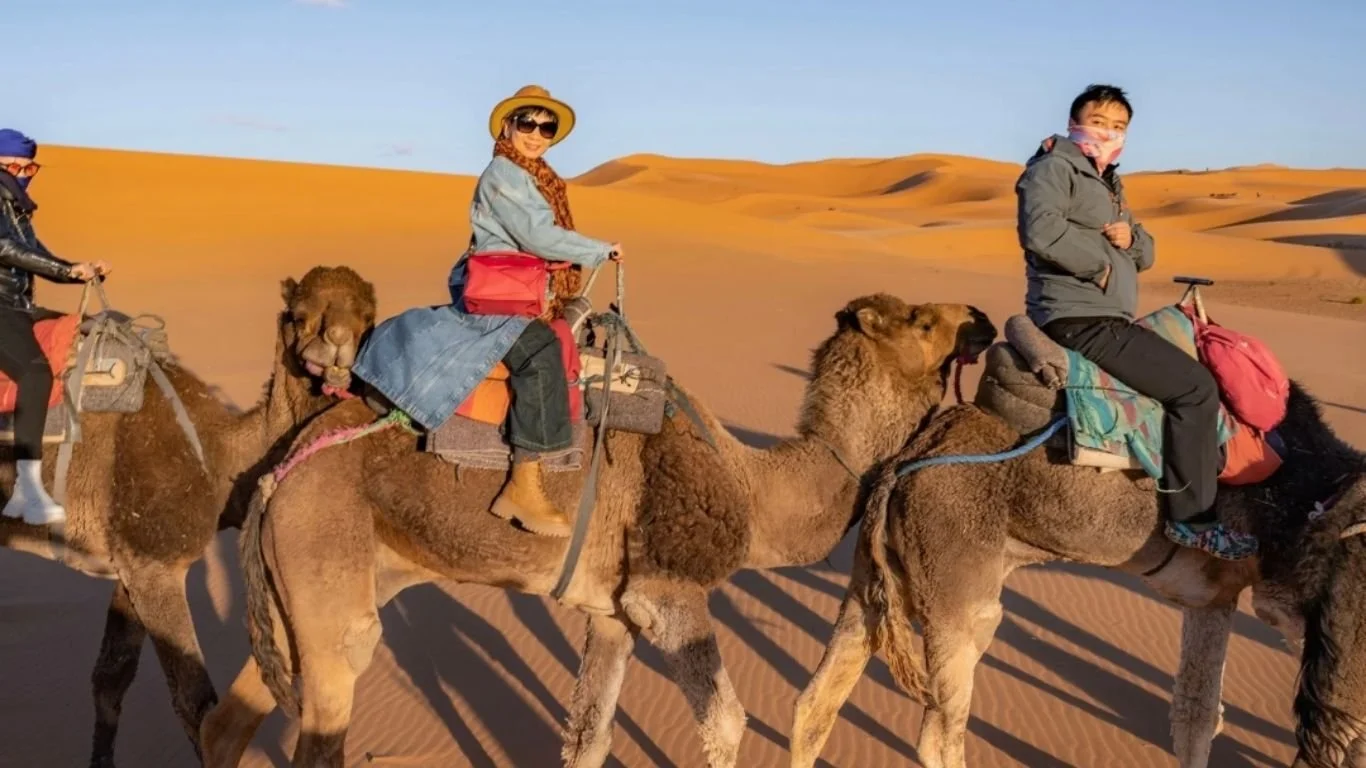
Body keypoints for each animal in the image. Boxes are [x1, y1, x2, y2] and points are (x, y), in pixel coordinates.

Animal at [0, 265, 377, 768]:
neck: (218, 458)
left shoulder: (132, 567)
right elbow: (196, 703)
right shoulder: (157, 567)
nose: (337, 346)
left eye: (368, 318)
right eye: (300, 314)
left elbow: (111, 678)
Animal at [196, 293, 998, 767]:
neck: (751, 488)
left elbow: (589, 733)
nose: (983, 320)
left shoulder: (612, 613)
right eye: (924, 323)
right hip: (325, 561)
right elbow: (728, 723)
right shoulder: (666, 591)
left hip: (311, 586)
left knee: (231, 717)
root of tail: (279, 473)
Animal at [789, 376, 1364, 768]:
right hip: (958, 584)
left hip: (872, 583)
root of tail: (898, 467)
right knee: (939, 732)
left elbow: (1197, 715)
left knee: (814, 703)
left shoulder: (1213, 597)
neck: (1296, 493)